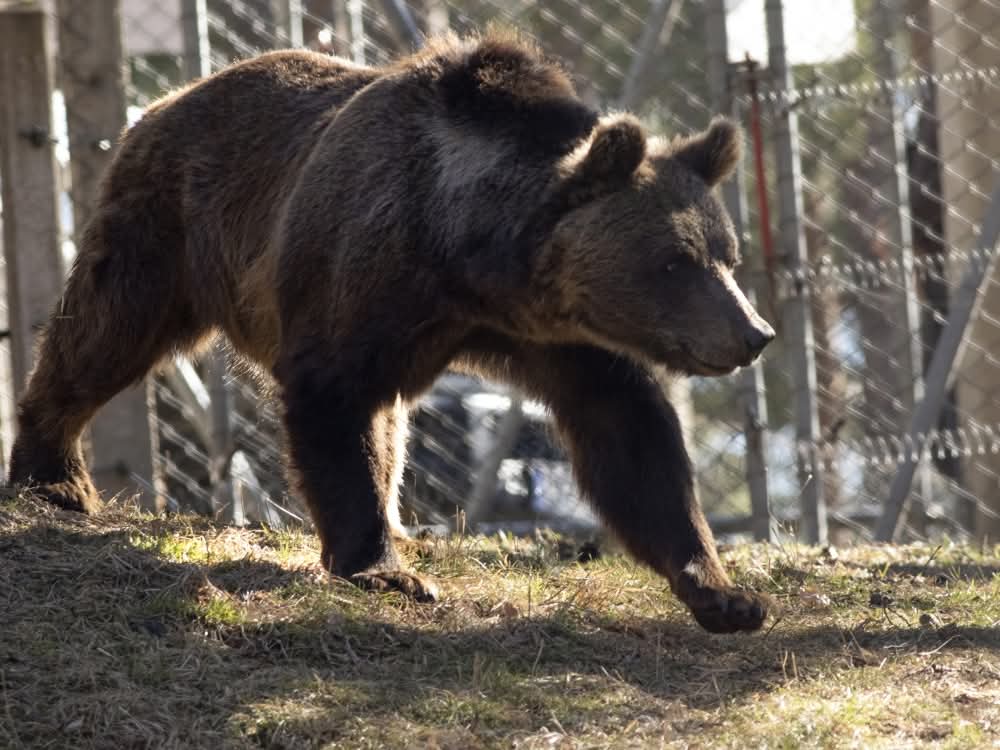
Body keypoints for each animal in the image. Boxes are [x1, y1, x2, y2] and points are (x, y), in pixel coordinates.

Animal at [7, 29, 776, 634]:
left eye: (728, 255)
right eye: (673, 261)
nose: (754, 333)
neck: (471, 259)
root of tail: (169, 98)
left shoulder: (560, 333)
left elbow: (629, 431)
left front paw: (723, 592)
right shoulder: (364, 274)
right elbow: (335, 400)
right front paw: (382, 570)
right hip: (171, 225)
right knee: (105, 327)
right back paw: (53, 476)